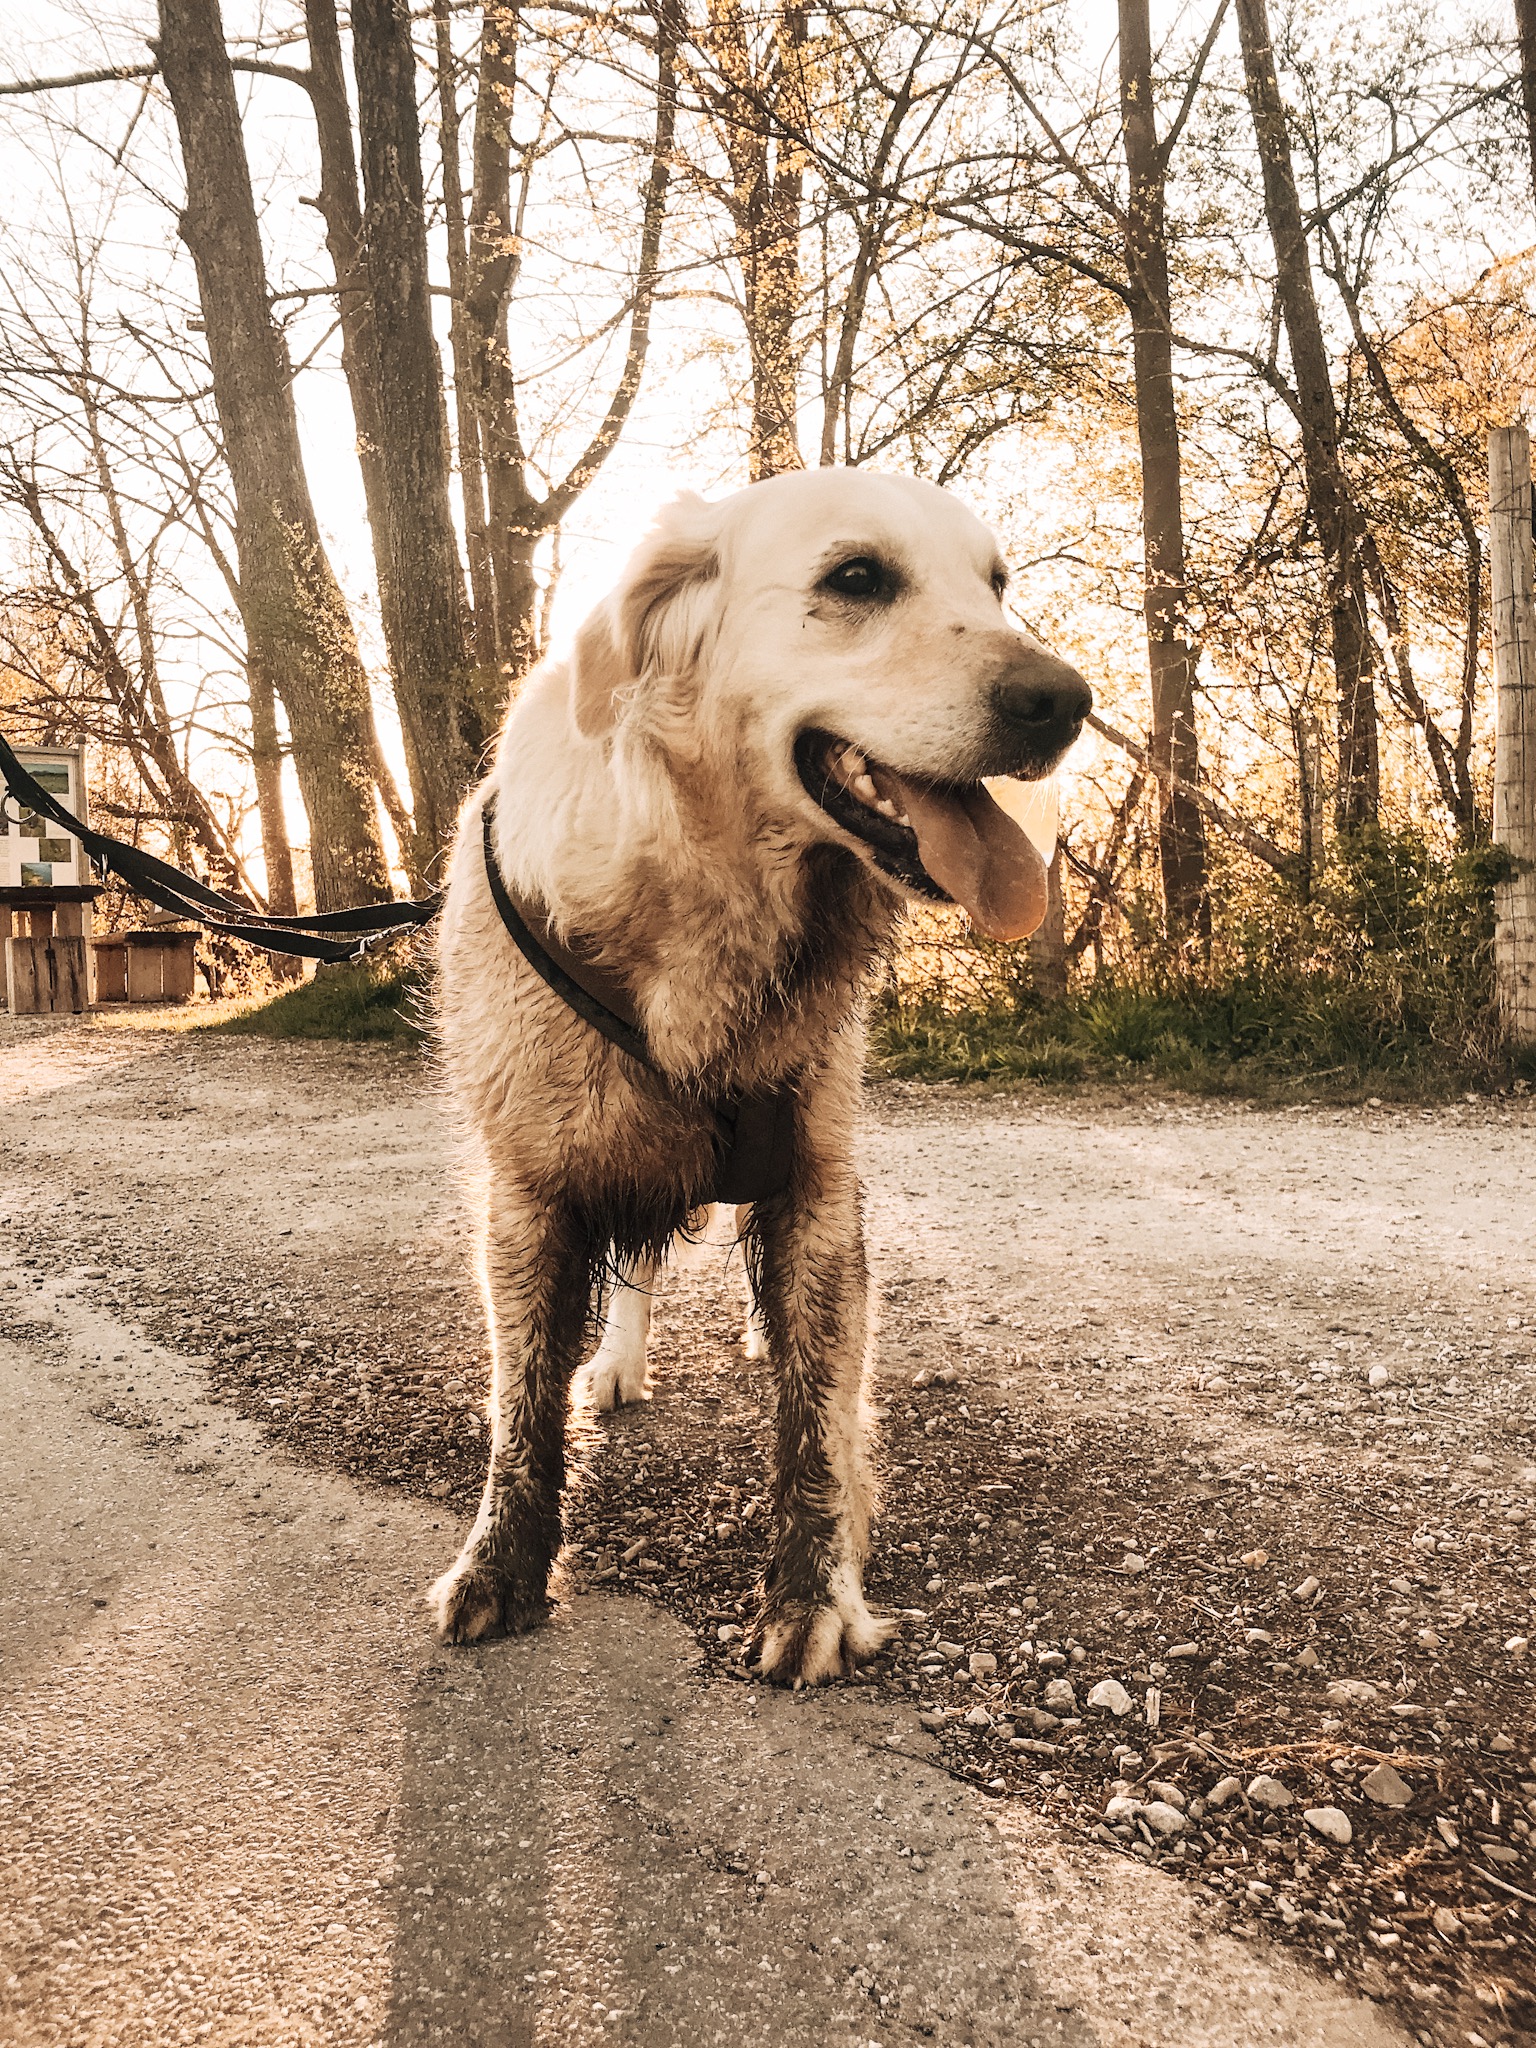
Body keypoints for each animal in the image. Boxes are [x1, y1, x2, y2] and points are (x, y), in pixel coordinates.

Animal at [428, 471, 1089, 1687]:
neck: (705, 879)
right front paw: (501, 1562)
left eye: (997, 583)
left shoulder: (818, 1174)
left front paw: (813, 1591)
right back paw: (618, 1362)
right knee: (636, 1268)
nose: (1065, 702)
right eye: (857, 577)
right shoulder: (526, 1187)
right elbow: (521, 1403)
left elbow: (817, 1413)